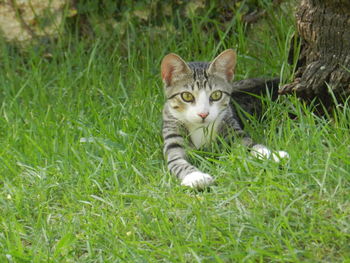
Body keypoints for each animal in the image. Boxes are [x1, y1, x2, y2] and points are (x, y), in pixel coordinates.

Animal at [161, 49, 288, 189]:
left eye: (216, 95)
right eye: (187, 96)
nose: (203, 114)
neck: (200, 128)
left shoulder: (232, 127)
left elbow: (250, 143)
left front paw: (272, 155)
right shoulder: (173, 136)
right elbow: (176, 160)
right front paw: (196, 176)